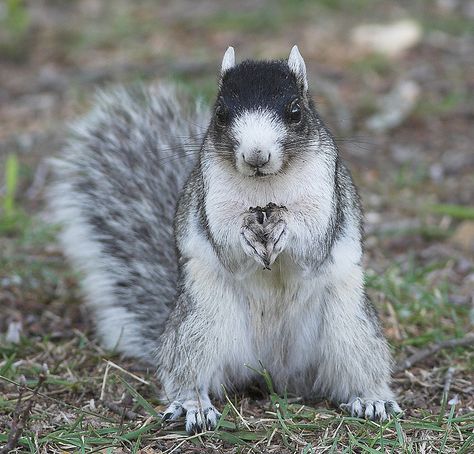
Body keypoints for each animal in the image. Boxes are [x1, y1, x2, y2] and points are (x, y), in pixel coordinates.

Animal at [50, 46, 402, 432]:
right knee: (189, 371)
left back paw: (371, 399)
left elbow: (313, 244)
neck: (266, 188)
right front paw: (246, 234)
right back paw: (194, 405)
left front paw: (285, 227)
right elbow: (226, 245)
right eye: (220, 113)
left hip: (349, 326)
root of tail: (272, 368)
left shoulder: (326, 194)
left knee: (359, 366)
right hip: (201, 322)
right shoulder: (213, 198)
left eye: (295, 110)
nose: (256, 155)